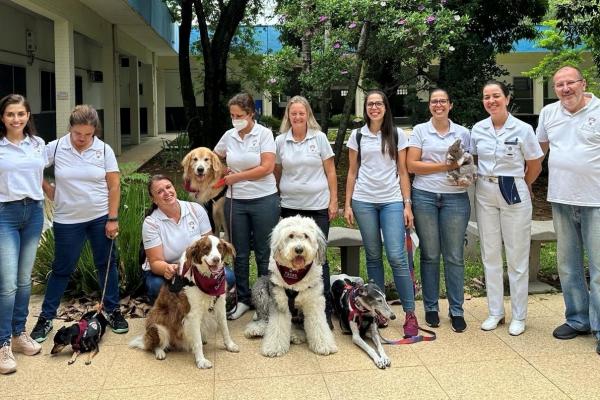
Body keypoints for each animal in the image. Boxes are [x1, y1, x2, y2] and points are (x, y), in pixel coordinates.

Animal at [130, 234, 238, 368]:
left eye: (219, 248)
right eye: (206, 248)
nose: (216, 259)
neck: (206, 279)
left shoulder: (220, 306)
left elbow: (225, 329)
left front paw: (230, 345)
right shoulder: (192, 315)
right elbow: (197, 342)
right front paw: (201, 360)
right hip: (158, 327)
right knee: (153, 346)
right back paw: (160, 352)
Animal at [244, 216, 338, 356]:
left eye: (306, 236)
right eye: (291, 235)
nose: (299, 249)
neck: (295, 278)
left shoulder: (314, 302)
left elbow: (318, 325)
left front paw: (324, 345)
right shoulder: (280, 303)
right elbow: (277, 326)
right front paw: (274, 348)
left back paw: (295, 335)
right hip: (260, 288)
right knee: (265, 319)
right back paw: (256, 330)